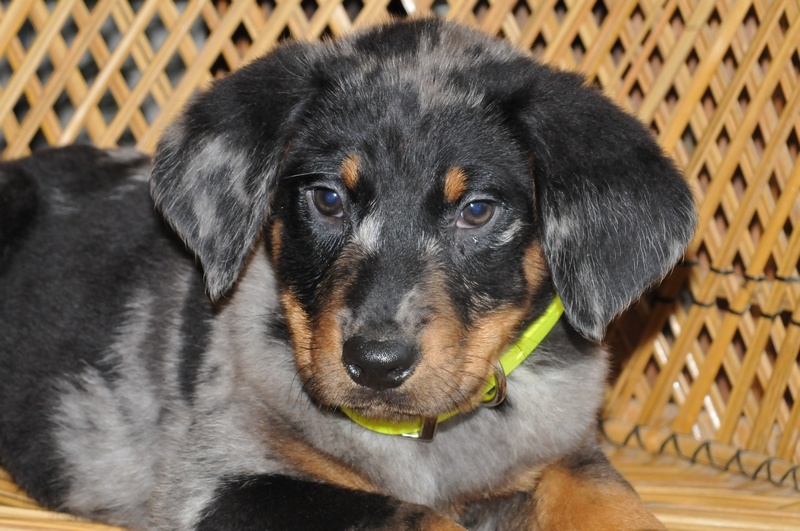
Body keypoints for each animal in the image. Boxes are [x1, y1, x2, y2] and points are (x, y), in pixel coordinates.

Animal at [0, 18, 695, 530]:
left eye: (477, 210)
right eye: (328, 199)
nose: (376, 364)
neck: (430, 444)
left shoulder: (566, 450)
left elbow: (610, 497)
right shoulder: (219, 480)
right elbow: (411, 516)